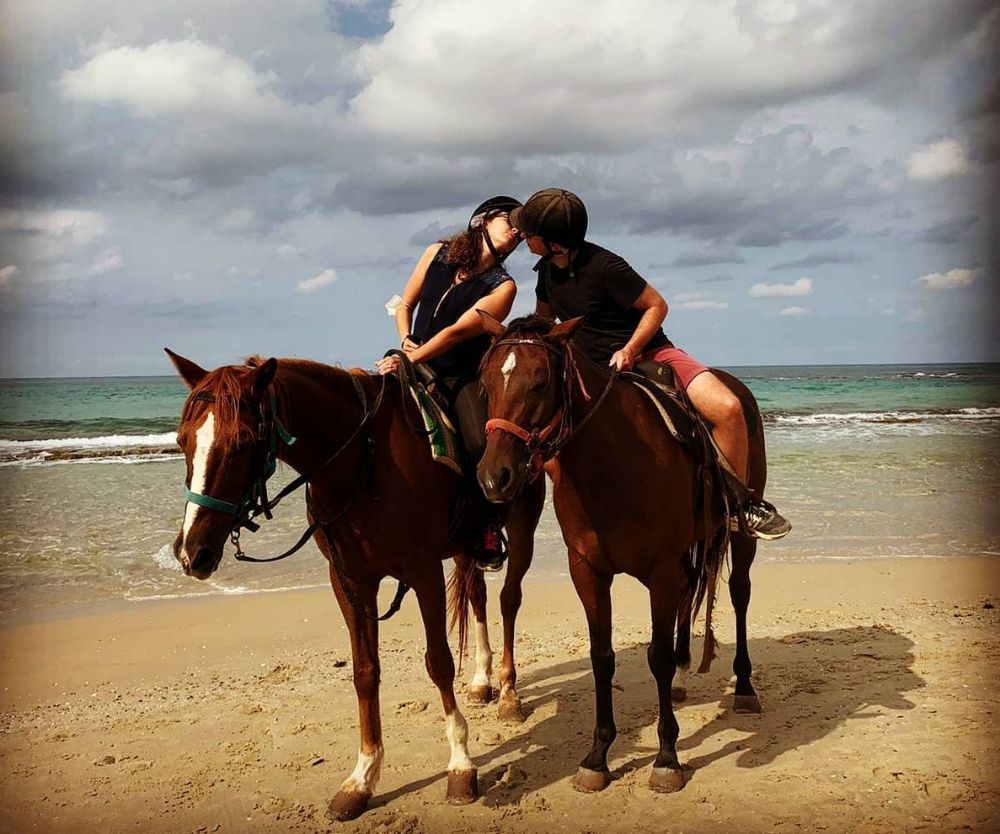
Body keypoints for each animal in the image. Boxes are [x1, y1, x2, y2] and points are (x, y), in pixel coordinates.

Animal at [165, 350, 544, 820]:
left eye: (241, 443)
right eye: (182, 441)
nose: (191, 553)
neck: (364, 464)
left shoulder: (423, 573)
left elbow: (438, 663)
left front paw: (460, 765)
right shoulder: (349, 581)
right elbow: (365, 672)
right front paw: (361, 778)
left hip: (523, 526)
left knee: (510, 600)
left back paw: (508, 693)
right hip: (463, 547)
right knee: (477, 596)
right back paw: (481, 681)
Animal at [476, 314, 764, 792]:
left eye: (539, 383)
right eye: (485, 383)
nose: (493, 477)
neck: (614, 462)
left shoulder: (661, 571)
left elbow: (657, 656)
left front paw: (666, 757)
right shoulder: (588, 571)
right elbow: (602, 657)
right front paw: (598, 755)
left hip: (740, 538)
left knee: (740, 594)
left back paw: (744, 686)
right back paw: (684, 676)